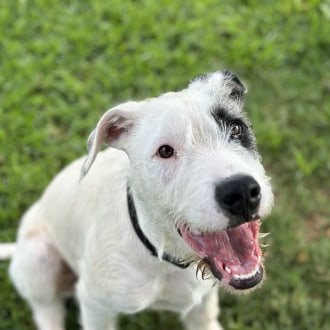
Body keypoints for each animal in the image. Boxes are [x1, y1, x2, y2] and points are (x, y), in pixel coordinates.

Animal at [6, 70, 274, 330]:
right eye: (165, 151)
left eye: (237, 128)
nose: (240, 192)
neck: (162, 252)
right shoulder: (95, 305)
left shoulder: (204, 300)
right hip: (38, 257)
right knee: (46, 311)